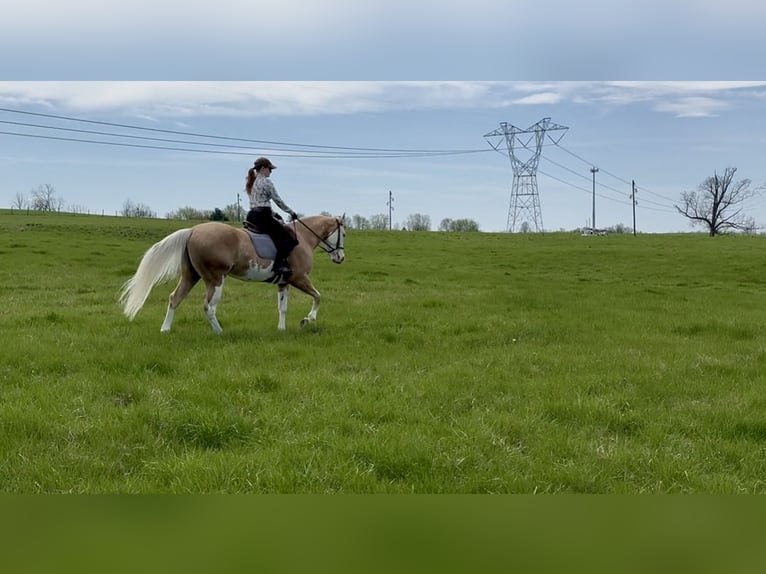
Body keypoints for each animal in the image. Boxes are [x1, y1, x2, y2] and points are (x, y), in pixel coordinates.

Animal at [119, 214, 346, 333]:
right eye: (343, 233)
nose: (341, 258)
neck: (304, 238)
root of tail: (193, 230)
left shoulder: (284, 283)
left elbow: (282, 307)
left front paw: (281, 330)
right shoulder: (300, 278)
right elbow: (318, 297)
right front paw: (308, 319)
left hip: (191, 276)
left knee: (175, 298)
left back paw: (165, 330)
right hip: (215, 279)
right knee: (208, 306)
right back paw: (220, 332)